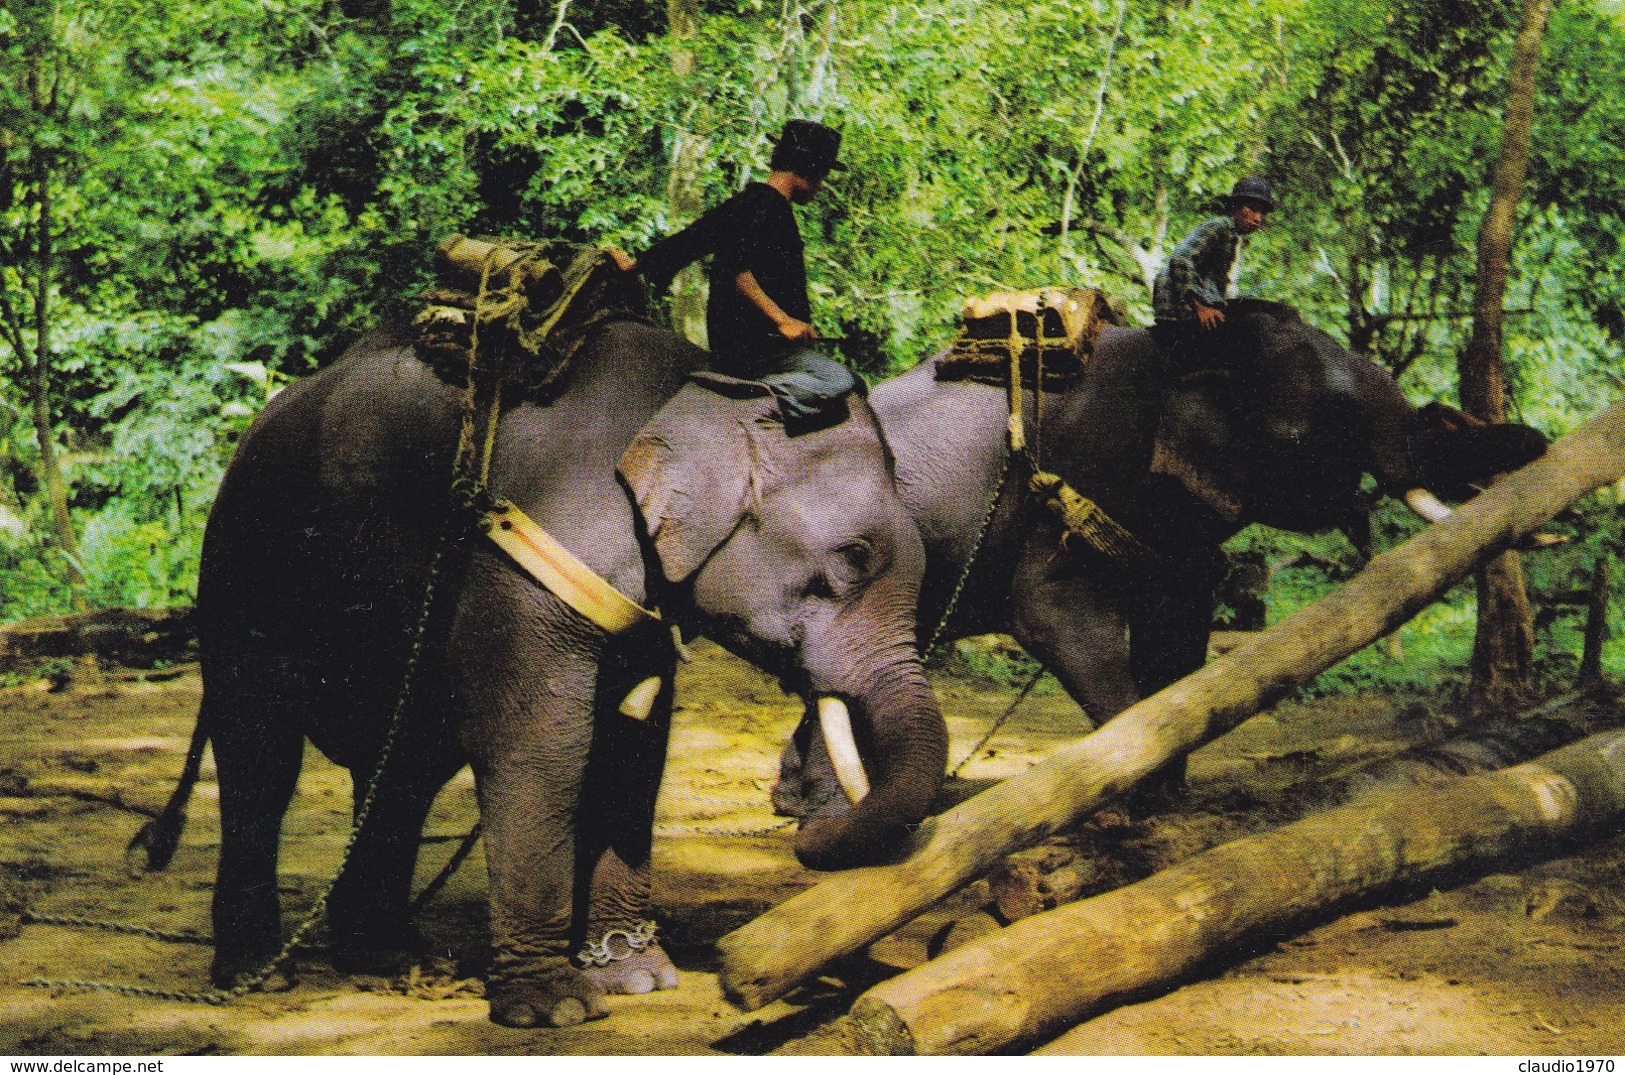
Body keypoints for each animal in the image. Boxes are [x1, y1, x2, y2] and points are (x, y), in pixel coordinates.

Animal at [139, 310, 949, 1026]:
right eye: (852, 559)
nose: (801, 834)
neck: (705, 380)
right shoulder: (532, 553)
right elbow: (541, 742)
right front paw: (556, 1009)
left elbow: (634, 744)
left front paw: (637, 979)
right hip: (245, 563)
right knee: (261, 752)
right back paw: (261, 973)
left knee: (401, 769)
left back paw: (392, 958)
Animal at [773, 298, 1547, 811]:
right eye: (1317, 428)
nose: (1539, 439)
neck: (1180, 350)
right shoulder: (1077, 481)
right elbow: (1056, 618)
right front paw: (1136, 794)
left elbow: (1178, 620)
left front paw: (1168, 793)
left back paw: (806, 805)